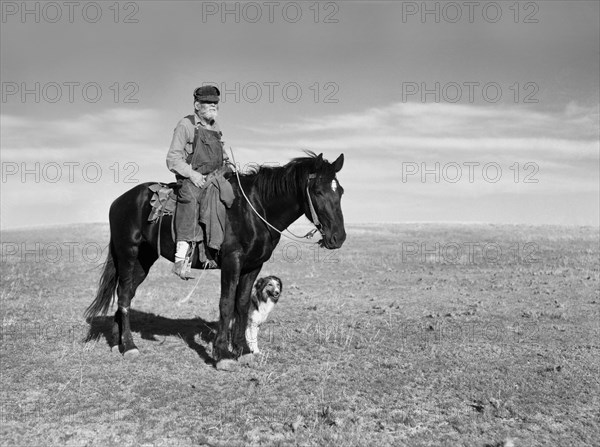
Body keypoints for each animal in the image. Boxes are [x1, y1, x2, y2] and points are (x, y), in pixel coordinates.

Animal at [84, 152, 346, 366]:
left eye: (340, 191)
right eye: (318, 191)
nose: (338, 237)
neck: (255, 210)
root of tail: (118, 202)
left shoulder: (253, 266)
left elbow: (242, 304)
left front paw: (243, 350)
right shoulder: (232, 261)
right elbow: (226, 304)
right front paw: (222, 354)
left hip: (143, 260)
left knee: (124, 294)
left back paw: (118, 343)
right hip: (128, 254)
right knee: (124, 295)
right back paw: (129, 346)